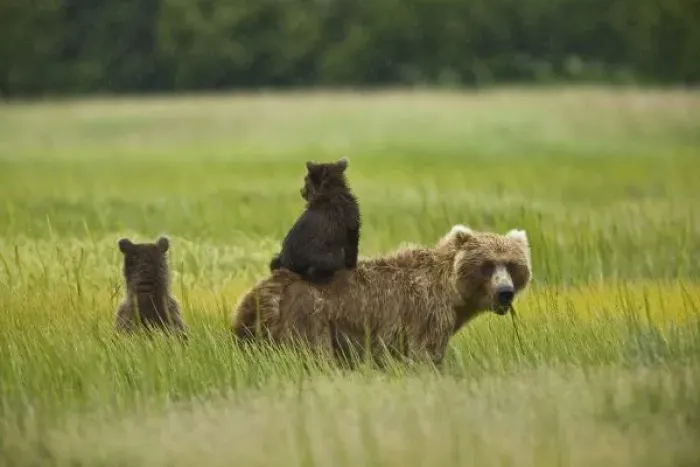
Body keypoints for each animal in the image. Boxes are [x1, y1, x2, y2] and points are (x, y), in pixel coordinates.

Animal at [232, 224, 532, 366]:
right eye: (487, 265)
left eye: (512, 265)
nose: (505, 292)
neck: (453, 295)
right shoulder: (426, 314)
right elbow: (426, 354)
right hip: (309, 317)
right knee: (315, 356)